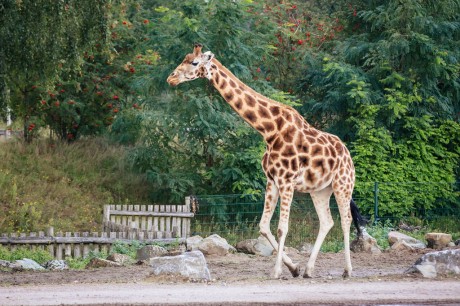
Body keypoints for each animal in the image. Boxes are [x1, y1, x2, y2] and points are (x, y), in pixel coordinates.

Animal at [167, 43, 364, 280]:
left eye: (194, 62)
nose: (171, 78)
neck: (269, 130)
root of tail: (347, 154)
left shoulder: (287, 180)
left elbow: (282, 227)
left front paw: (277, 271)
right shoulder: (272, 180)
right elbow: (263, 226)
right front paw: (294, 268)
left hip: (342, 184)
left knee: (346, 220)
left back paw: (347, 270)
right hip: (320, 190)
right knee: (327, 221)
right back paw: (309, 270)